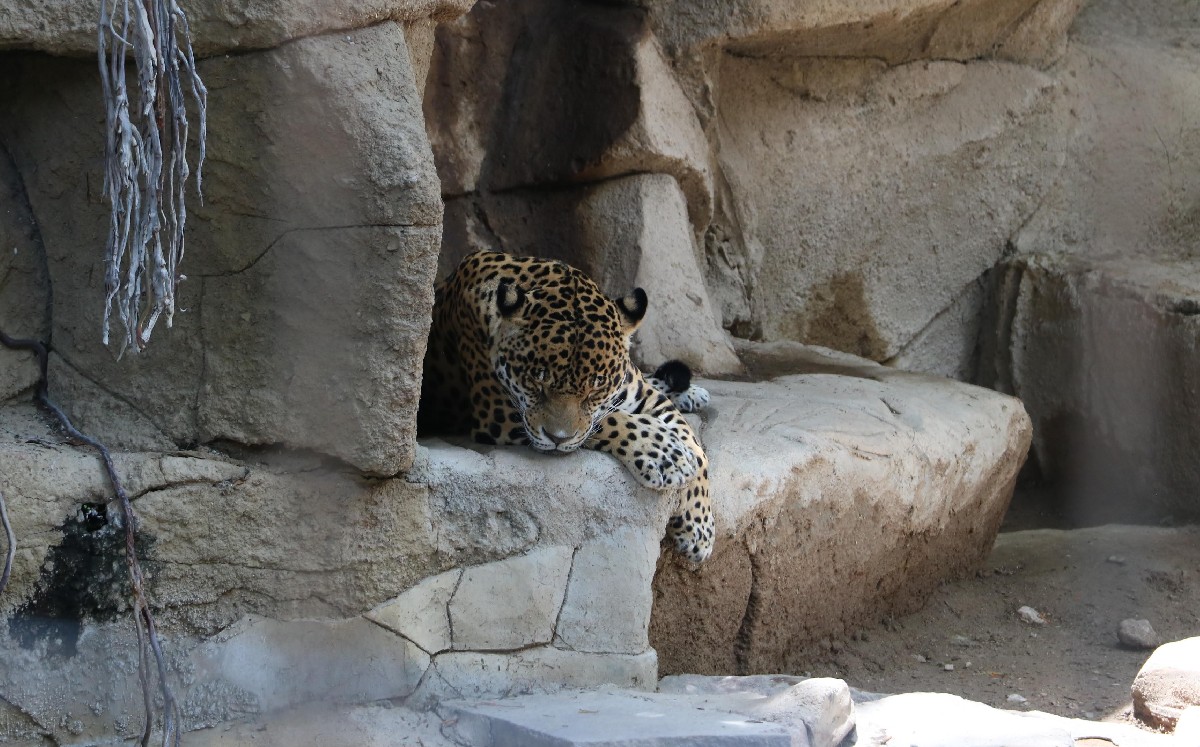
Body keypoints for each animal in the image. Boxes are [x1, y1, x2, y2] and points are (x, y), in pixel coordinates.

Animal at [418, 250, 715, 562]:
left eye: (596, 386)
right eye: (536, 381)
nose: (557, 439)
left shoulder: (645, 396)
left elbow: (694, 445)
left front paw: (700, 528)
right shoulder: (501, 412)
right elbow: (608, 421)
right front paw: (665, 453)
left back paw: (691, 392)